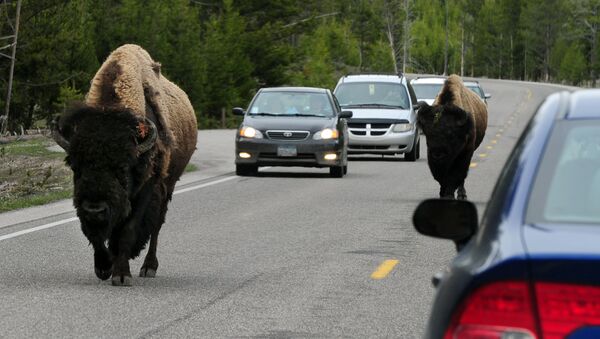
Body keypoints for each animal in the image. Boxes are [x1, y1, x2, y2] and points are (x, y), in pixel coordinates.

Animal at [51, 43, 197, 286]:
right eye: (76, 167)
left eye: (123, 168)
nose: (94, 209)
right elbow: (96, 235)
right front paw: (103, 267)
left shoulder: (146, 188)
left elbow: (128, 229)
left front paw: (121, 275)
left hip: (168, 186)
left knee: (156, 226)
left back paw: (149, 267)